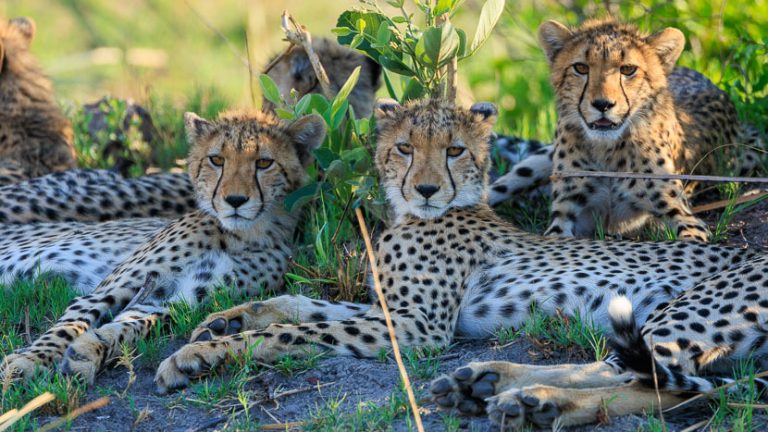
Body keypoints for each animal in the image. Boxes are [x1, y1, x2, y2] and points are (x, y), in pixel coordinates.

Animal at [0, 109, 345, 385]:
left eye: (264, 162)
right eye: (217, 160)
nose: (235, 200)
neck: (244, 234)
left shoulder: (175, 297)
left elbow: (129, 326)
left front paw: (88, 354)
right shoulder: (112, 288)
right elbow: (67, 327)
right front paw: (29, 361)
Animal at [143, 98, 762, 407]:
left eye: (455, 151)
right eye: (404, 148)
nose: (425, 189)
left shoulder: (420, 326)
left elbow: (296, 331)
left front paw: (203, 353)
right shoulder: (395, 308)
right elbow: (298, 305)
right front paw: (224, 321)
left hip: (673, 317)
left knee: (634, 375)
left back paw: (527, 395)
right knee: (652, 382)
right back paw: (493, 384)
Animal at [488, 18, 765, 242]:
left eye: (628, 69)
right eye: (581, 68)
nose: (602, 104)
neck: (607, 150)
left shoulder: (682, 213)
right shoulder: (567, 214)